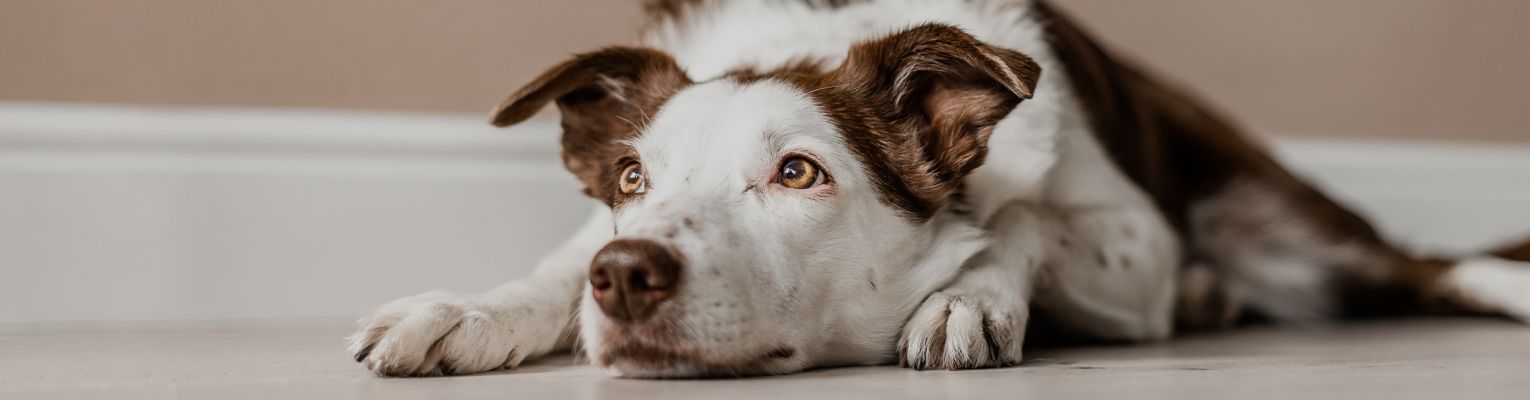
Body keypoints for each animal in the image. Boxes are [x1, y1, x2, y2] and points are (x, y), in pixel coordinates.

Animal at [347, 0, 1530, 377]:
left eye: (797, 171)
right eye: (631, 179)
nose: (627, 274)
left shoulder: (1134, 239)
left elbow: (1023, 211)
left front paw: (966, 295)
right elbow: (550, 267)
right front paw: (466, 311)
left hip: (1283, 222)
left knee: (1432, 265)